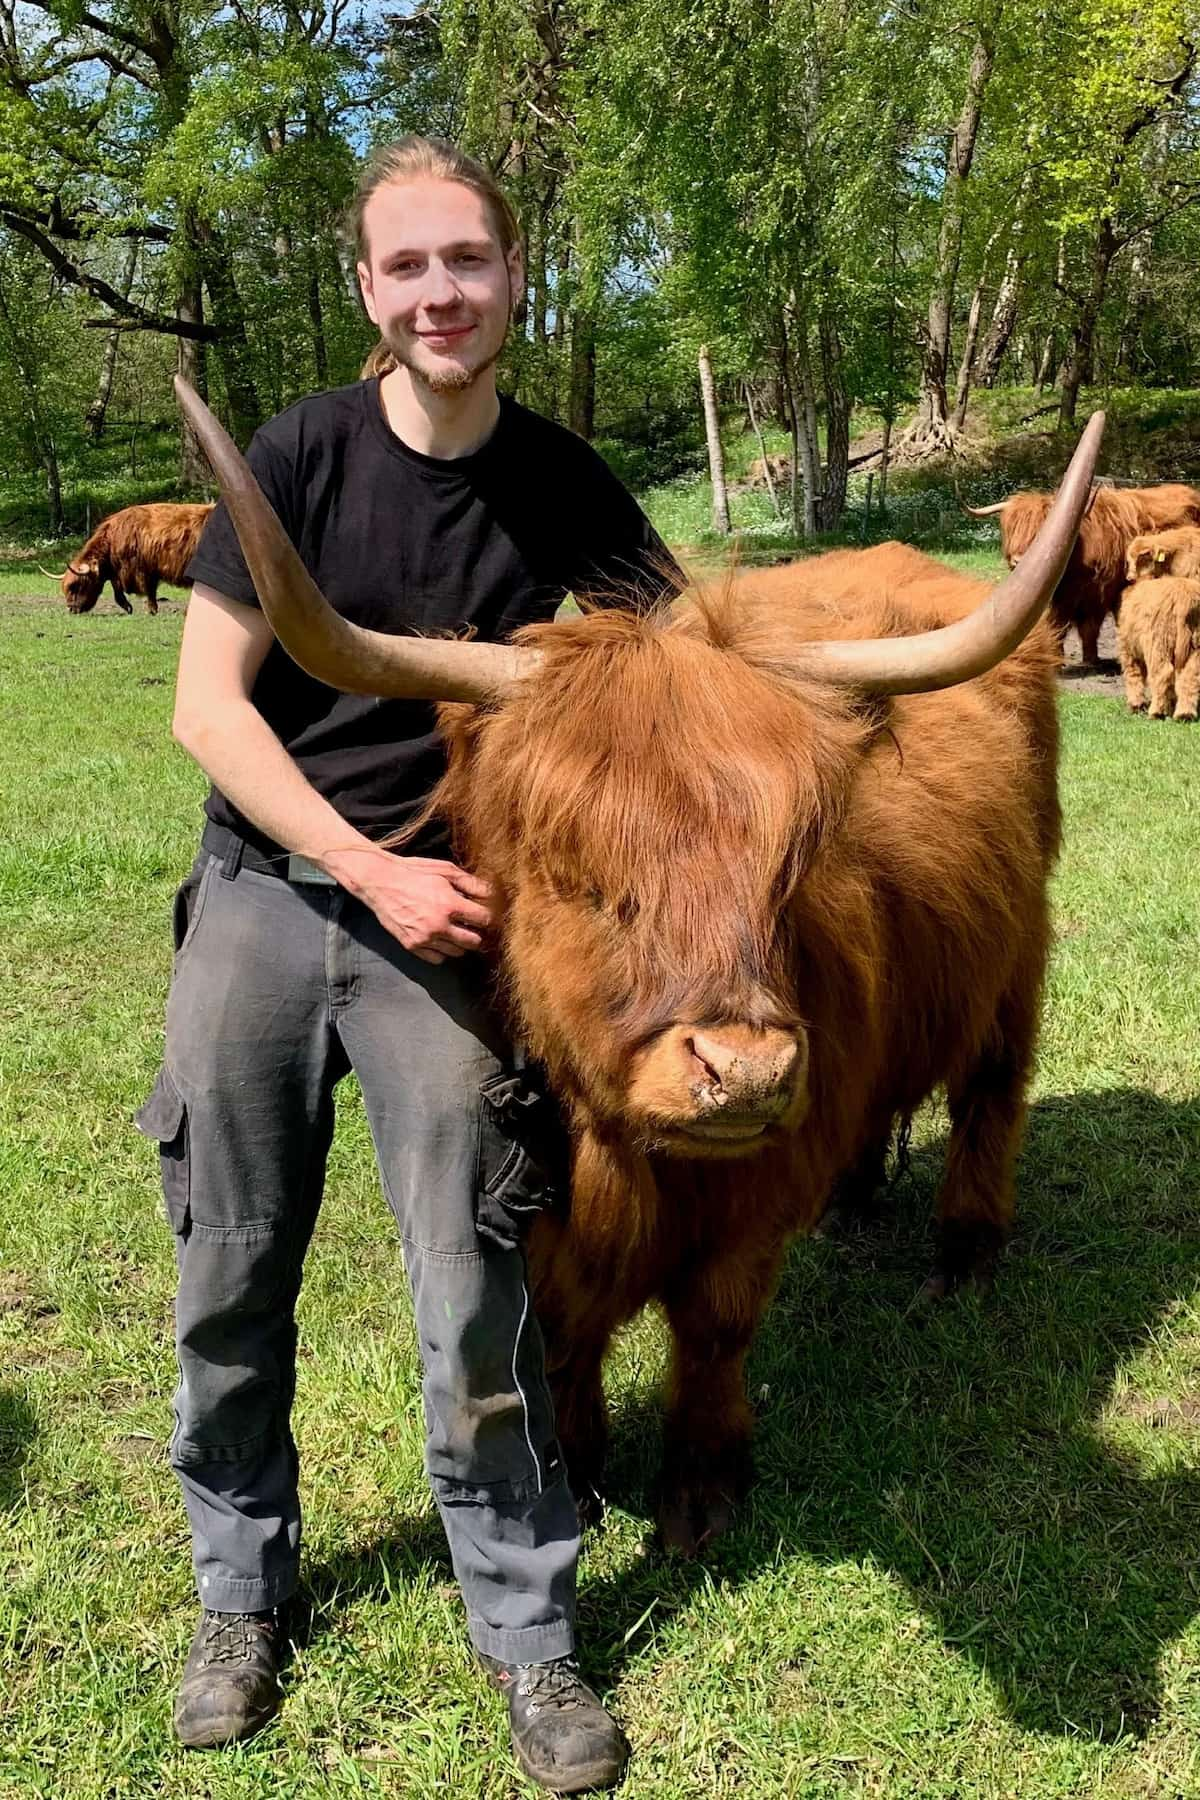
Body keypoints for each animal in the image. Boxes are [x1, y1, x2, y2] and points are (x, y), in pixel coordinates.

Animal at [173, 376, 1101, 1548]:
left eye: (789, 866)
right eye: (573, 871)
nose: (745, 1072)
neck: (626, 1154)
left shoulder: (749, 1197)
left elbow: (715, 1325)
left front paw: (702, 1488)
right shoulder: (534, 1198)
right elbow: (562, 1333)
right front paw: (578, 1468)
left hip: (1017, 957)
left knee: (991, 1092)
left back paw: (964, 1256)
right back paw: (852, 1206)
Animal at [964, 478, 1200, 669]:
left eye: (1041, 530)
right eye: (1011, 529)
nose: (1018, 561)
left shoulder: (1095, 592)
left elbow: (1085, 625)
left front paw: (1087, 660)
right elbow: (1057, 623)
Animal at [1115, 572, 1200, 720]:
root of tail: (1184, 598)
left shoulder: (1128, 649)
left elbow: (1133, 675)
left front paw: (1136, 705)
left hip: (1159, 642)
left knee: (1162, 674)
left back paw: (1156, 712)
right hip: (1195, 646)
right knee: (1190, 676)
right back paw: (1184, 714)